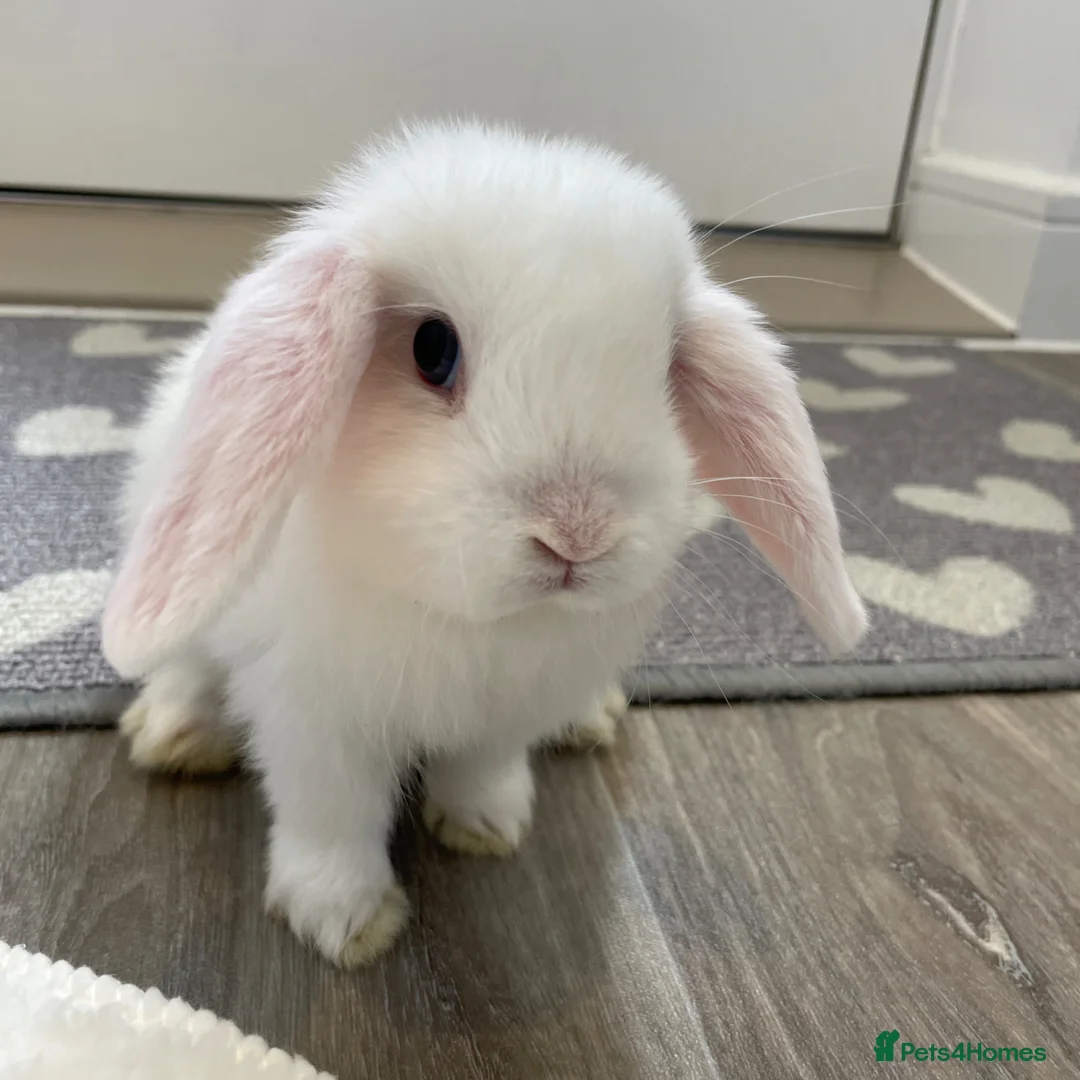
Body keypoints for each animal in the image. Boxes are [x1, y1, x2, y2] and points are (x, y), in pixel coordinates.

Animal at [102, 121, 867, 967]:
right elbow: (331, 816)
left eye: (667, 370)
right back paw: (175, 734)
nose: (577, 533)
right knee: (185, 663)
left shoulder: (508, 716)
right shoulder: (314, 719)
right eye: (433, 349)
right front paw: (344, 921)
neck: (479, 623)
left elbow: (481, 770)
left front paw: (486, 828)